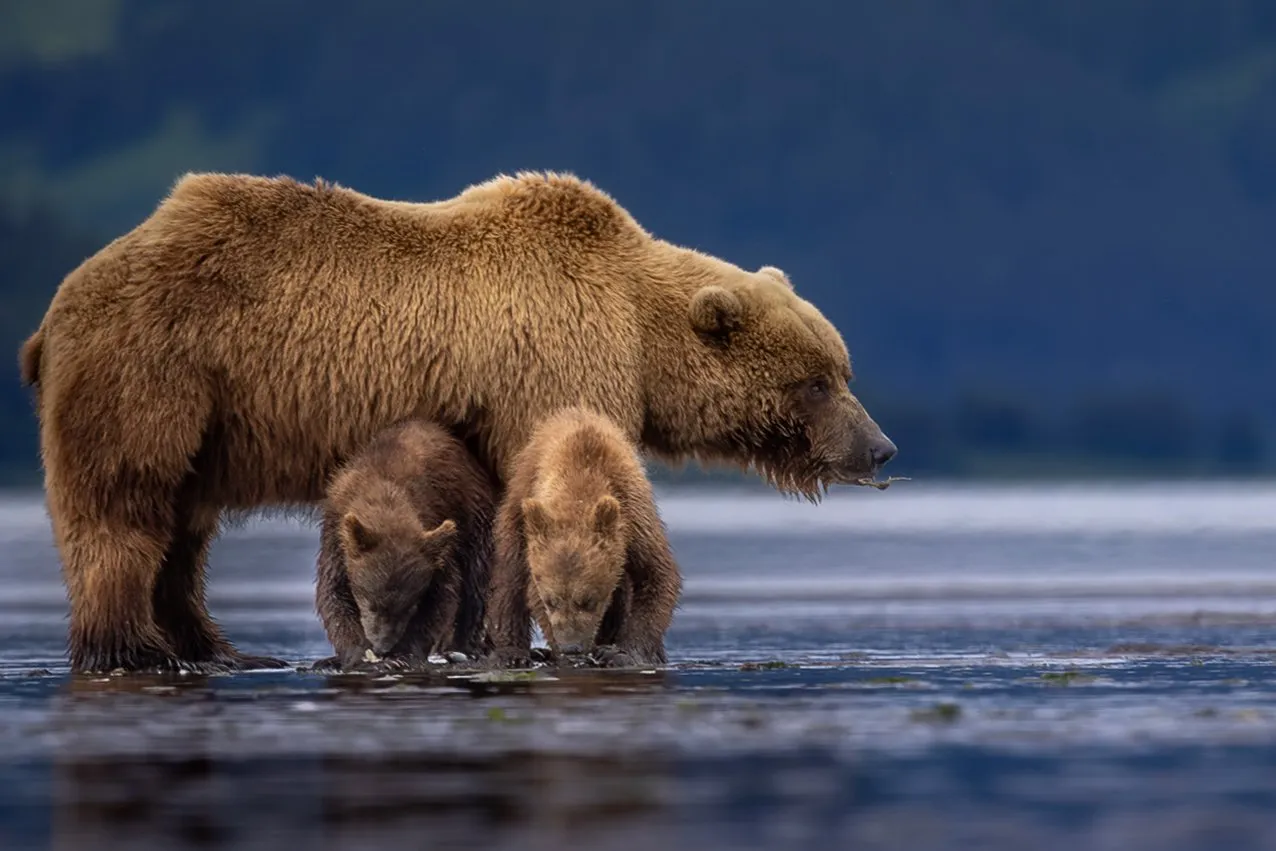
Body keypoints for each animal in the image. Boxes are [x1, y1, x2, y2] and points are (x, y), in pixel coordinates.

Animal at [312, 418, 496, 671]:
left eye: (409, 606)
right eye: (371, 603)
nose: (382, 646)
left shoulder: (435, 536)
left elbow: (442, 596)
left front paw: (403, 655)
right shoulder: (336, 536)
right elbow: (333, 594)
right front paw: (359, 654)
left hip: (475, 516)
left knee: (476, 580)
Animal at [486, 406, 680, 668]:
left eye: (589, 600)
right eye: (551, 601)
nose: (572, 648)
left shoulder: (634, 516)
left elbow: (656, 576)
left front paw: (620, 653)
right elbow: (524, 587)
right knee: (508, 579)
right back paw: (514, 653)